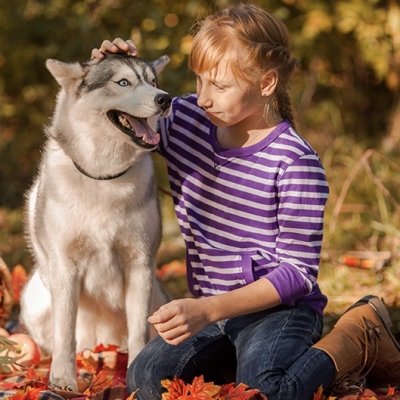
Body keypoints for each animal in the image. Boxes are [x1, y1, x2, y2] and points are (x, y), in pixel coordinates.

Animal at [19, 52, 172, 390]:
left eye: (153, 81)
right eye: (123, 82)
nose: (165, 99)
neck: (105, 177)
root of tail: (103, 346)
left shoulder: (140, 263)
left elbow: (139, 330)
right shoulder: (65, 267)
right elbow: (65, 333)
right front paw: (63, 380)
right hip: (35, 300)